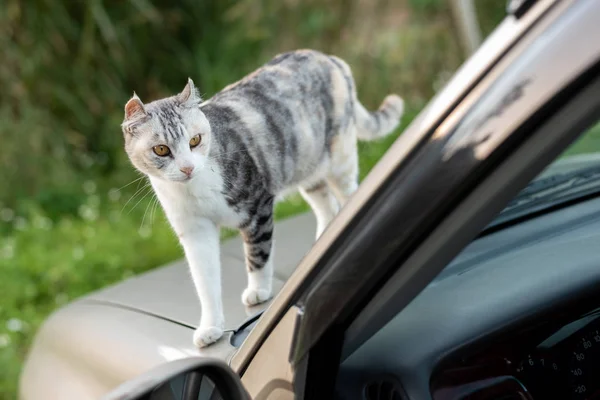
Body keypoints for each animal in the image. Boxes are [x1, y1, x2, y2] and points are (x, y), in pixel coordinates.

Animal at [120, 48, 404, 346]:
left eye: (195, 140)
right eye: (161, 149)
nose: (187, 167)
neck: (195, 189)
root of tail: (327, 57)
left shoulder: (257, 207)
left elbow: (257, 255)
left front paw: (258, 292)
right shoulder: (195, 231)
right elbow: (205, 282)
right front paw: (211, 327)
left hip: (340, 161)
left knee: (350, 197)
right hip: (307, 167)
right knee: (327, 207)